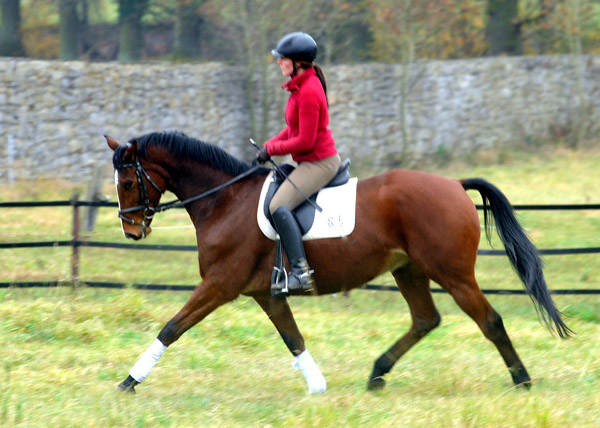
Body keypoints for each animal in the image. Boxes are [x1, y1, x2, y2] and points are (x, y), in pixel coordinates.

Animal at [105, 130, 568, 394]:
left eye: (127, 182)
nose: (132, 231)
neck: (225, 199)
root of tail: (454, 184)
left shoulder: (220, 284)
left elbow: (172, 327)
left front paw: (130, 380)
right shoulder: (266, 294)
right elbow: (293, 339)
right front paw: (318, 386)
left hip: (452, 274)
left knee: (489, 320)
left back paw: (522, 380)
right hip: (409, 270)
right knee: (425, 319)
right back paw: (378, 373)